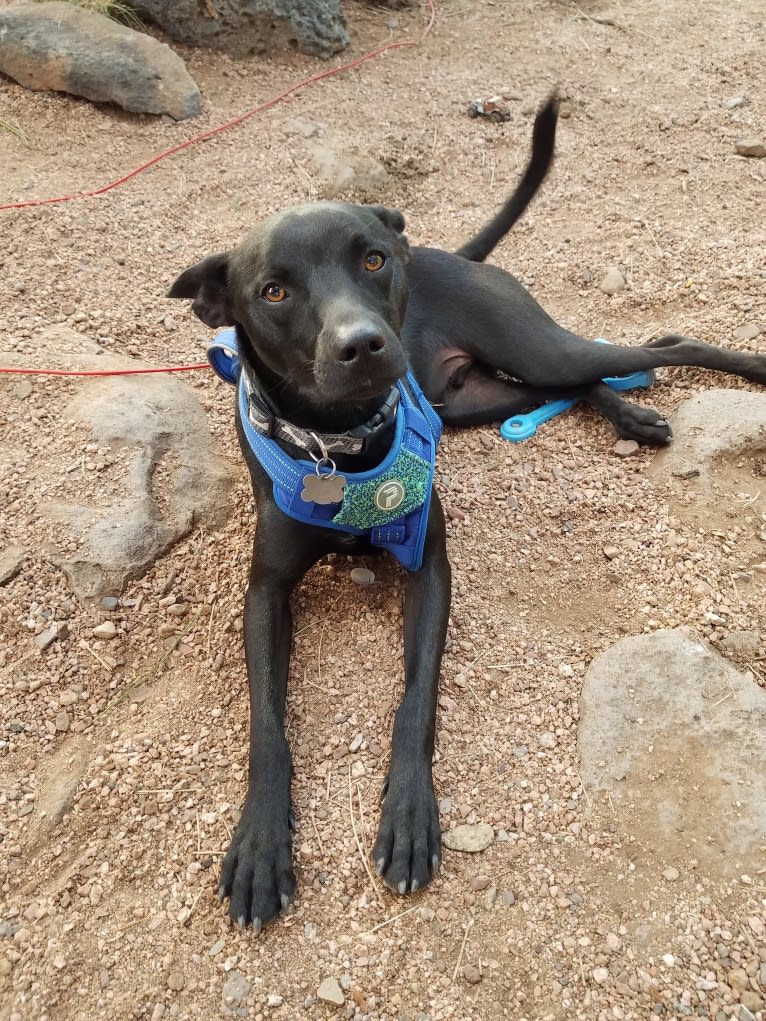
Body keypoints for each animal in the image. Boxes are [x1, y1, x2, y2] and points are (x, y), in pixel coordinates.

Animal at [170, 97, 766, 935]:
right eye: (274, 292)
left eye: (372, 261)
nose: (364, 344)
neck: (343, 445)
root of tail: (446, 252)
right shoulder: (264, 593)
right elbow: (266, 723)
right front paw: (259, 842)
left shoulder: (430, 568)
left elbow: (415, 699)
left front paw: (410, 815)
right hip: (474, 398)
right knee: (578, 383)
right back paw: (628, 415)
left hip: (534, 347)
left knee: (652, 345)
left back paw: (729, 375)